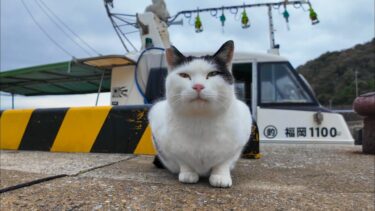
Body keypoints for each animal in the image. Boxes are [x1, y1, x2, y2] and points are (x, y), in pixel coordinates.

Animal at [148, 40, 253, 187]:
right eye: (184, 75)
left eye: (213, 74)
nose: (198, 86)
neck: (200, 120)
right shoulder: (170, 146)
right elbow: (184, 161)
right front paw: (188, 174)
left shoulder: (235, 146)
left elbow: (223, 162)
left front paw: (220, 176)